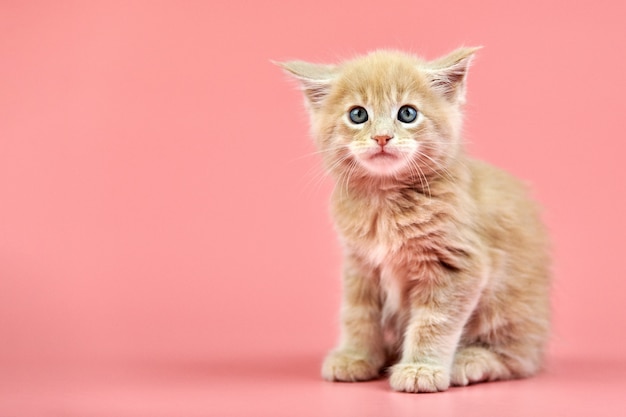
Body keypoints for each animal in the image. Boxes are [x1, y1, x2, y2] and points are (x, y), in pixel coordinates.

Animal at [276, 48, 544, 394]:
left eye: (407, 114)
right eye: (358, 115)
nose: (382, 137)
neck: (385, 203)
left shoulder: (458, 264)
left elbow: (434, 322)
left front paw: (421, 368)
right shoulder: (360, 266)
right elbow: (358, 314)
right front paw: (355, 356)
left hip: (510, 308)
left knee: (518, 358)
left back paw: (470, 360)